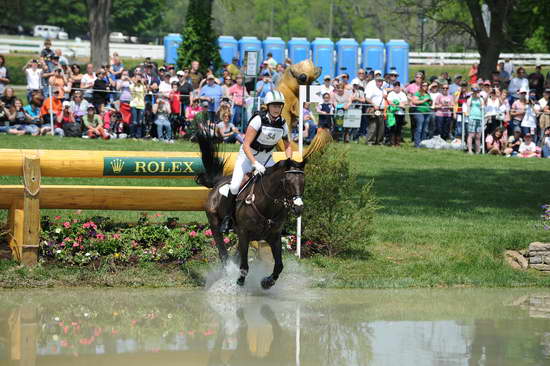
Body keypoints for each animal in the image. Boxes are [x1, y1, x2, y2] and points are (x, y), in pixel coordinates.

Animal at [195, 132, 306, 288]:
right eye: (286, 182)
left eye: (303, 182)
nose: (298, 208)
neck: (267, 205)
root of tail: (218, 182)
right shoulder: (243, 233)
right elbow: (244, 267)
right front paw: (239, 281)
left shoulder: (274, 236)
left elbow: (279, 265)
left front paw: (267, 282)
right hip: (215, 223)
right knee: (223, 252)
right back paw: (229, 271)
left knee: (235, 254)